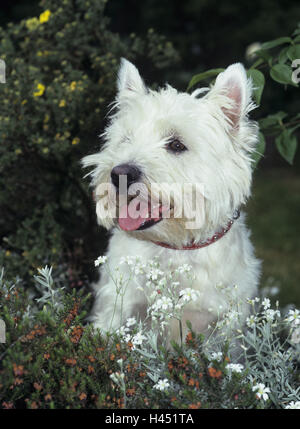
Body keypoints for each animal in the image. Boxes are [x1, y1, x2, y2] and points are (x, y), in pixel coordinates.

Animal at [82, 59, 260, 342]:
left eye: (176, 144)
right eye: (126, 139)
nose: (120, 173)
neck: (177, 250)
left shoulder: (225, 324)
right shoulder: (118, 305)